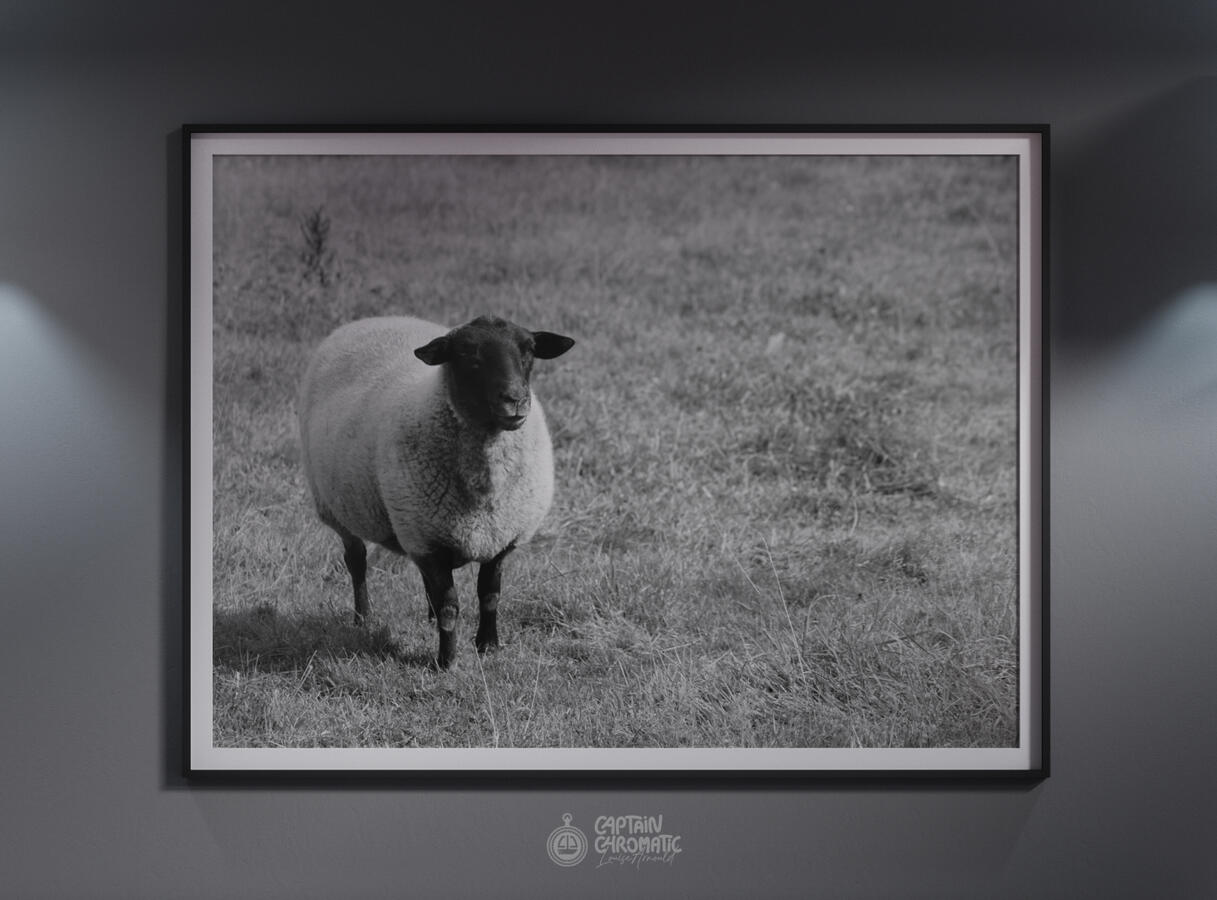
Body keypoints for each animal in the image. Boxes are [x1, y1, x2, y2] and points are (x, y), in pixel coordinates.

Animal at [298, 314, 575, 668]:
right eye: (469, 356)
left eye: (529, 350)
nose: (515, 400)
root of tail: (372, 319)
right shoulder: (427, 540)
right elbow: (450, 606)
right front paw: (446, 661)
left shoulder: (498, 537)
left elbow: (489, 595)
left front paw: (488, 645)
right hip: (340, 508)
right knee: (356, 560)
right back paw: (363, 618)